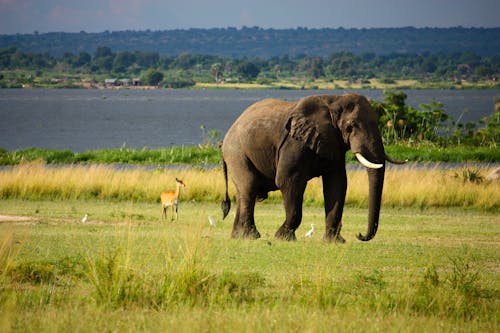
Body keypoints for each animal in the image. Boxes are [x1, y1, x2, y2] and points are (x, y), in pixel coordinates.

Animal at [221, 92, 404, 241]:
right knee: (249, 187)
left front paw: (334, 241)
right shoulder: (294, 142)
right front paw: (282, 237)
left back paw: (237, 236)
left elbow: (337, 184)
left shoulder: (333, 143)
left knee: (242, 192)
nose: (359, 235)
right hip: (236, 152)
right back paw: (251, 236)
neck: (334, 101)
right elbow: (288, 181)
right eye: (351, 127)